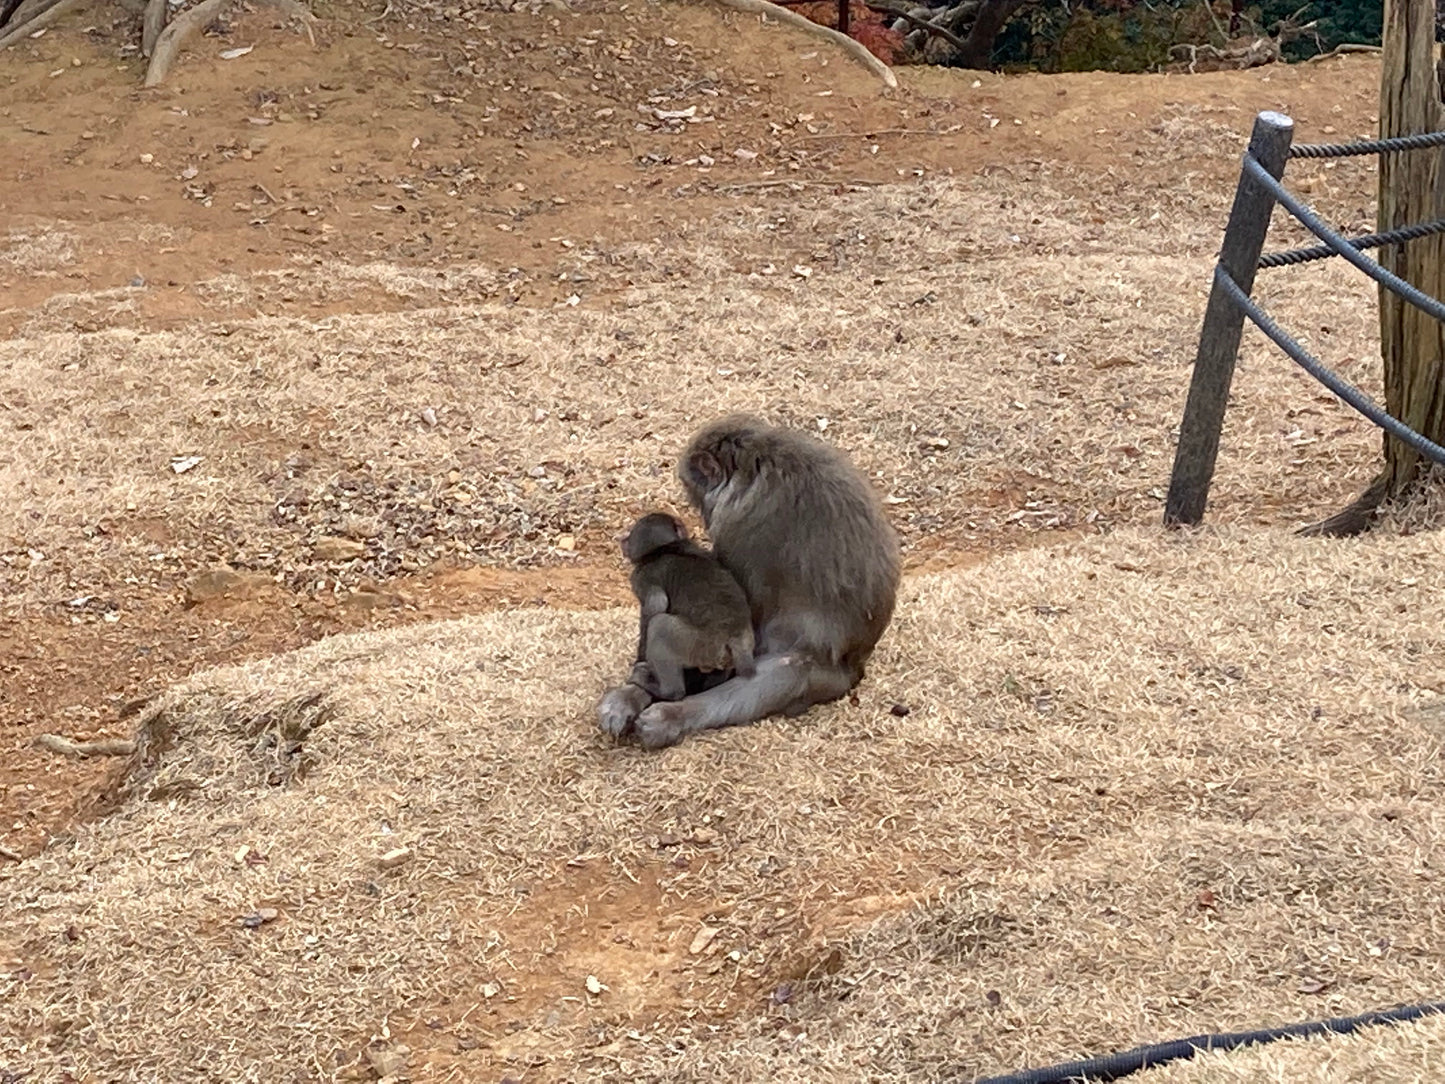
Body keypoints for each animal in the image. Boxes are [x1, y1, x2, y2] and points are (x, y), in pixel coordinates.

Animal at [620, 512, 756, 702]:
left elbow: (656, 607)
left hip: (699, 645)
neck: (665, 548)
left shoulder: (641, 577)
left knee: (660, 625)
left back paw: (663, 689)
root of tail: (735, 638)